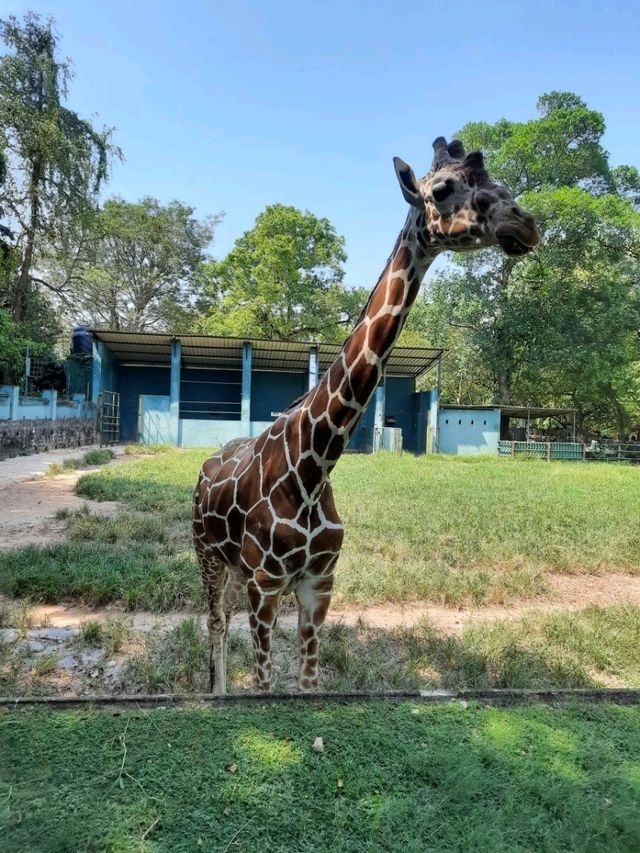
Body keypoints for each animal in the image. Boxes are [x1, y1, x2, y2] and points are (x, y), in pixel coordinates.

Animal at [192, 135, 536, 692]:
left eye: (497, 181)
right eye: (443, 189)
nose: (525, 225)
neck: (313, 469)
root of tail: (204, 468)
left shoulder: (318, 583)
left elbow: (309, 685)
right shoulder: (267, 584)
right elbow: (264, 684)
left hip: (234, 568)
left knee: (220, 618)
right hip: (206, 553)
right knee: (215, 622)